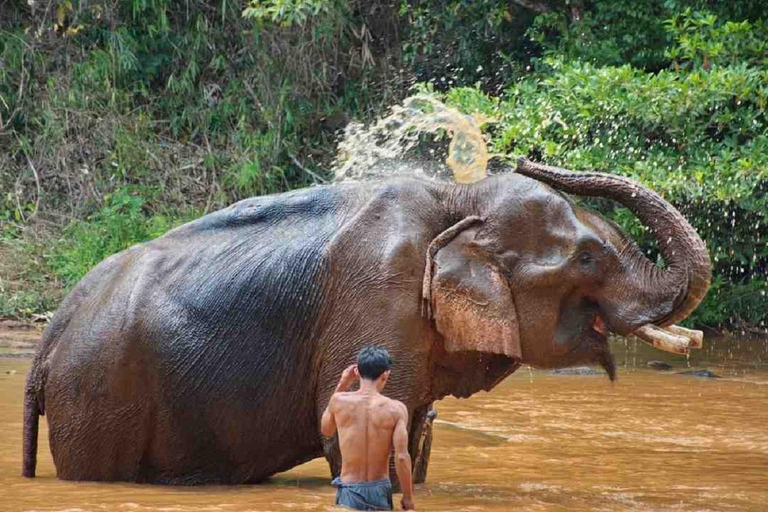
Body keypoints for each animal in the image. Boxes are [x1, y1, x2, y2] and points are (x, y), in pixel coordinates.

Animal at [21, 159, 712, 484]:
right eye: (588, 257)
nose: (526, 158)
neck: (456, 199)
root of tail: (48, 340)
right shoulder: (378, 295)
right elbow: (351, 436)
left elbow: (417, 437)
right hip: (100, 397)